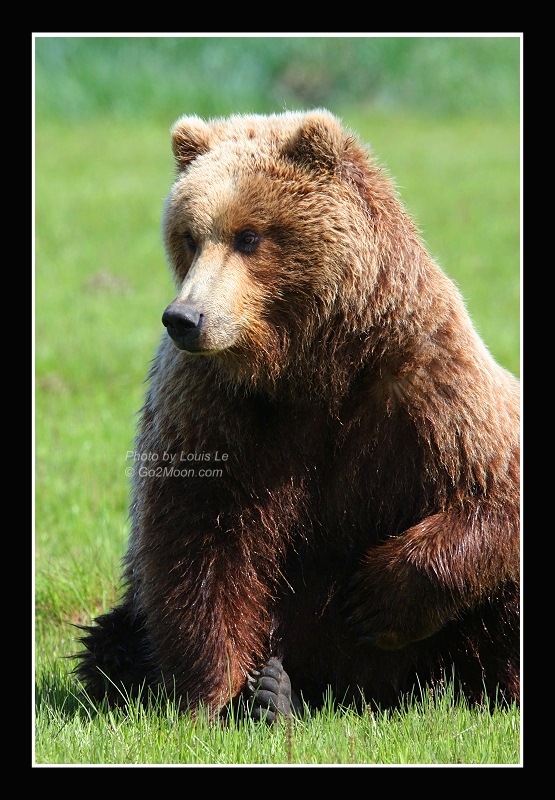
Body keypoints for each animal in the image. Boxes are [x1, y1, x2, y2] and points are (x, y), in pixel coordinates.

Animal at [75, 111, 520, 720]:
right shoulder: (215, 407)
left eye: (249, 236)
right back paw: (273, 692)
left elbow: (493, 491)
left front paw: (373, 598)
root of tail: (358, 692)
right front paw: (221, 695)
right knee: (113, 637)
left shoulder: (427, 382)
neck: (308, 365)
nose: (184, 318)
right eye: (189, 236)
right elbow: (197, 537)